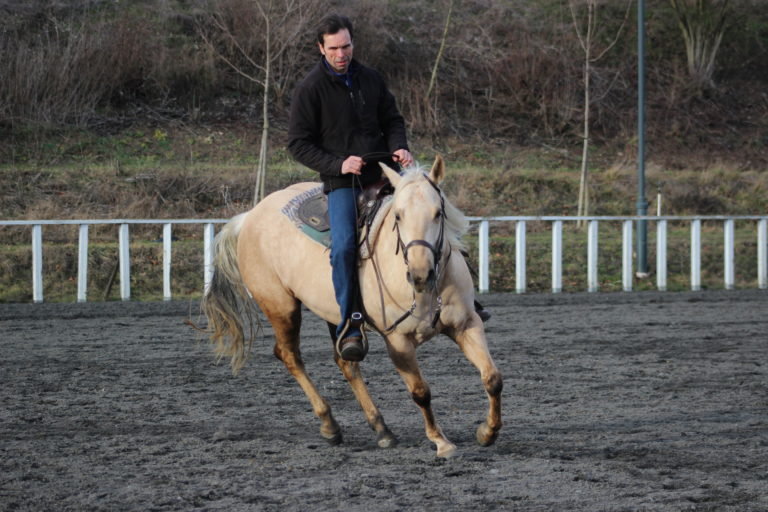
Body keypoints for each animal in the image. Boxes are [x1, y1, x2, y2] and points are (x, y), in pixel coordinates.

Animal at [201, 155, 502, 458]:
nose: (420, 275)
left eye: (438, 213)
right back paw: (329, 424)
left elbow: (492, 378)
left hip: (336, 315)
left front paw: (487, 432)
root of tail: (249, 216)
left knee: (345, 361)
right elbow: (420, 391)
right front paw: (440, 441)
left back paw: (381, 429)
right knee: (289, 355)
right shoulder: (398, 342)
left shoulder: (467, 325)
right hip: (281, 308)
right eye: (398, 216)